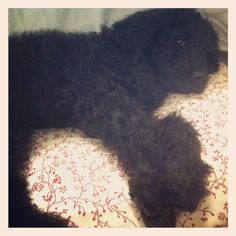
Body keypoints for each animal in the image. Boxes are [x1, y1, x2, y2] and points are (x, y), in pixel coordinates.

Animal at [8, 8, 219, 227]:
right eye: (180, 41)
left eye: (208, 52)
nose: (201, 77)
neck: (125, 57)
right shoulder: (105, 102)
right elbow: (147, 137)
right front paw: (160, 194)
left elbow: (174, 127)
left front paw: (184, 178)